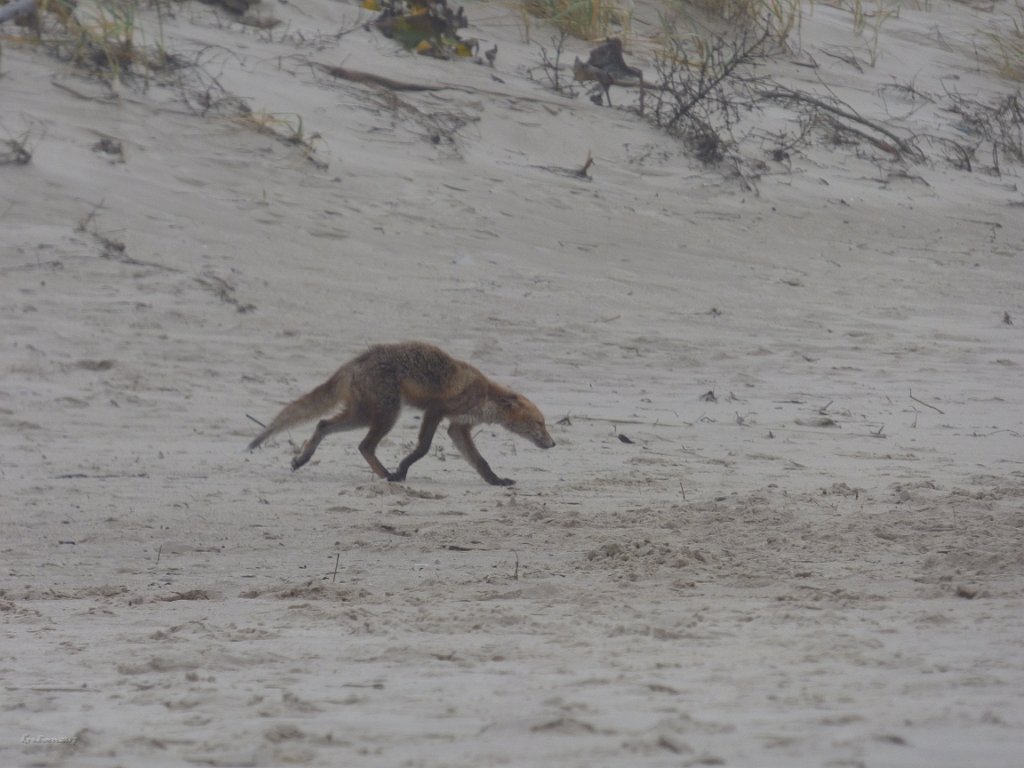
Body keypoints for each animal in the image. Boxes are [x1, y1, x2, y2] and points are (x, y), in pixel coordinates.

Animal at [244, 342, 557, 487]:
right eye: (539, 423)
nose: (553, 443)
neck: (483, 396)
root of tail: (355, 361)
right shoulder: (437, 410)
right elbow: (423, 448)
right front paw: (404, 467)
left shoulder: (458, 427)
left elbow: (480, 462)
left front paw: (496, 481)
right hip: (387, 414)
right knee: (364, 445)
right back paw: (388, 475)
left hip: (362, 415)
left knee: (322, 424)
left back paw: (303, 458)